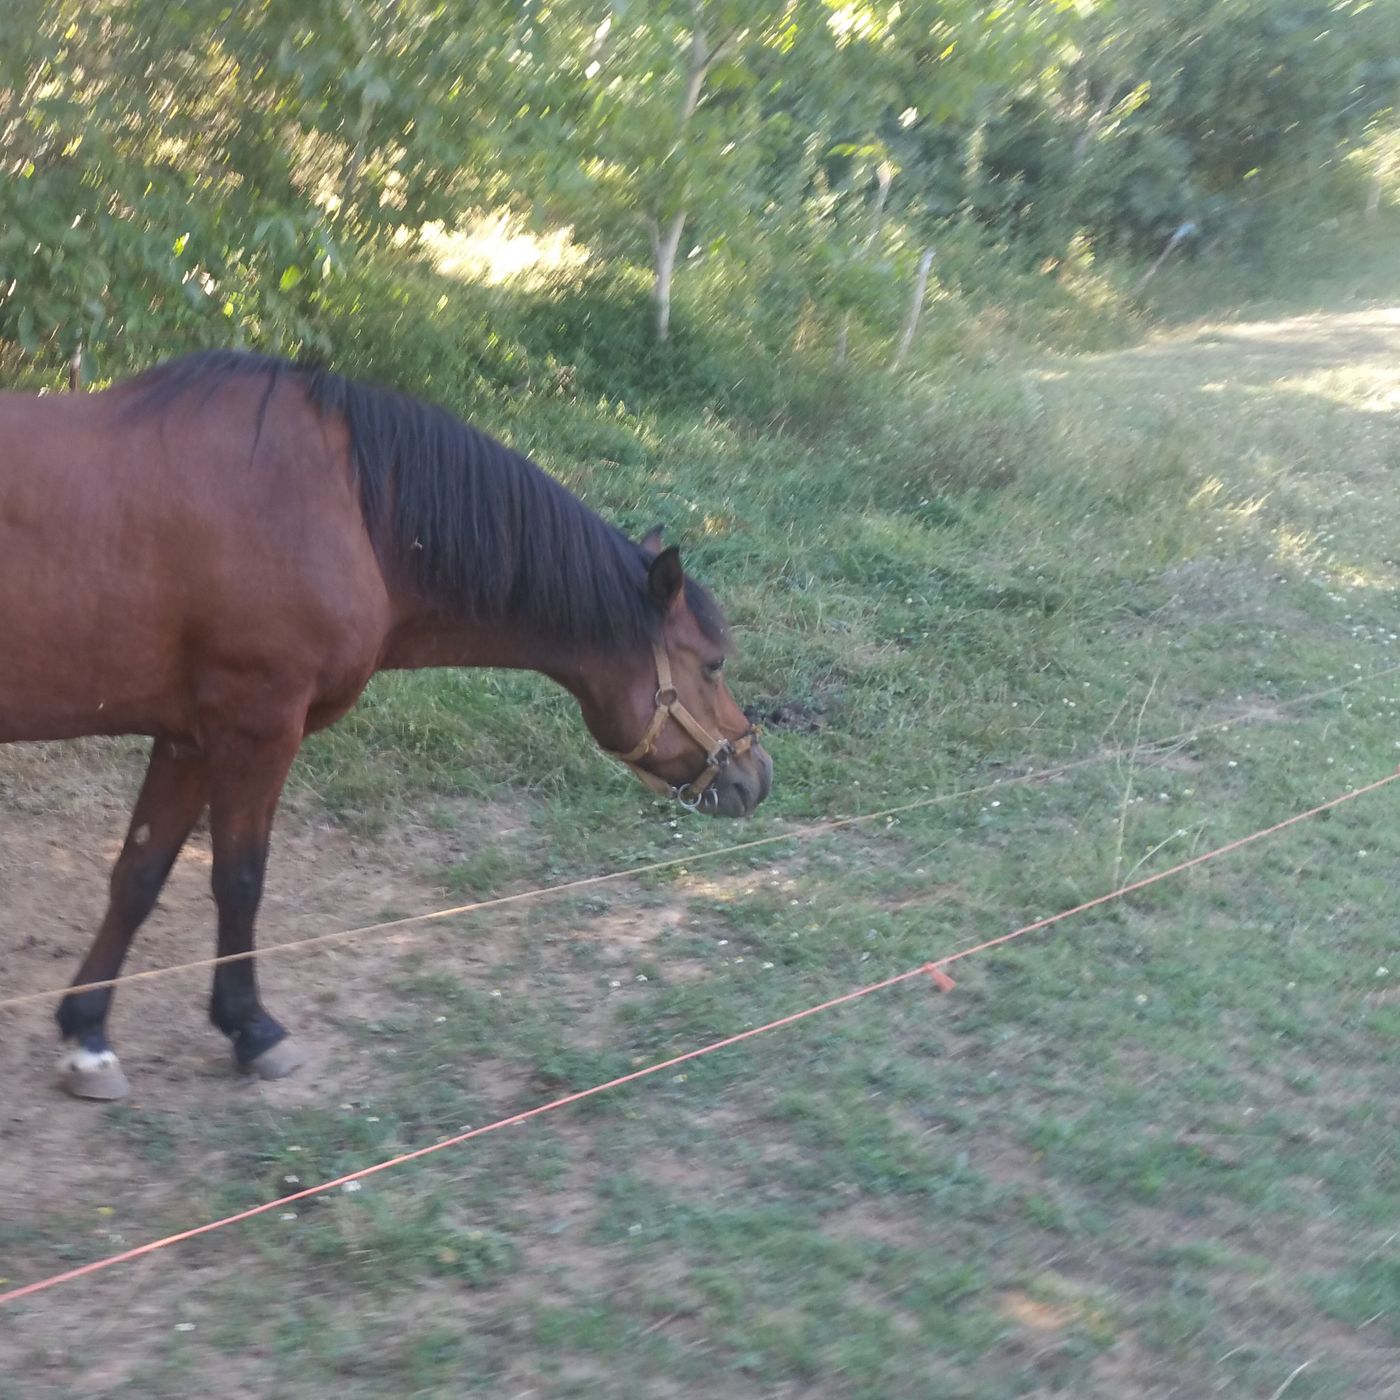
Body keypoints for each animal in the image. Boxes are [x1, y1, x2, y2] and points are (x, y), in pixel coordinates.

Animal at [0, 350, 772, 1101]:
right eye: (712, 664)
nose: (755, 775)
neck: (345, 509)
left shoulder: (190, 738)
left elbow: (140, 874)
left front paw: (88, 1037)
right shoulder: (257, 730)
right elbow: (239, 878)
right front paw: (253, 1029)